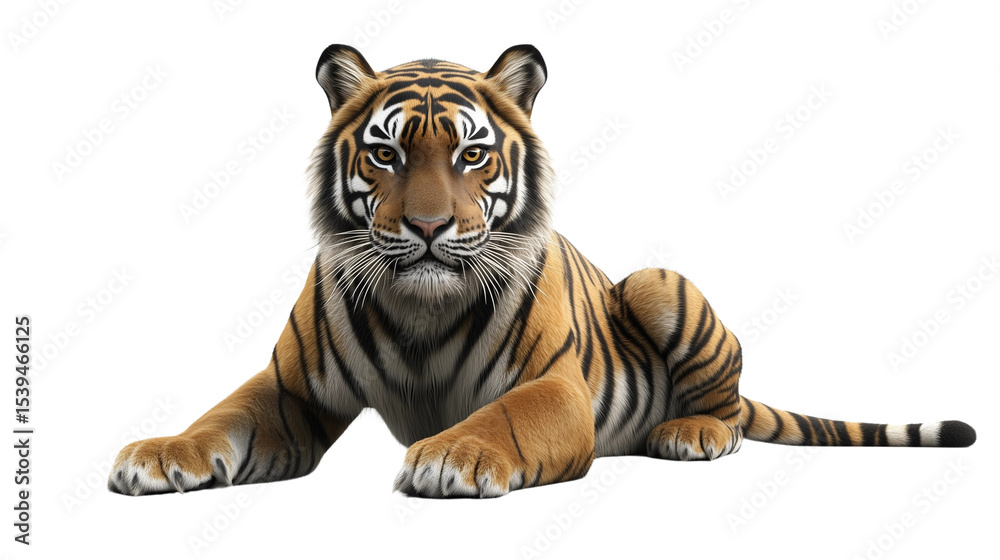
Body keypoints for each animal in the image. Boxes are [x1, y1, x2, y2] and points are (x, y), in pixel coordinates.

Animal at [109, 44, 976, 498]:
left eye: (471, 153)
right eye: (386, 155)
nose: (429, 228)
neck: (420, 308)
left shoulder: (555, 386)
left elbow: (503, 418)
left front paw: (451, 456)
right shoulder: (292, 387)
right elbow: (224, 416)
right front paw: (159, 453)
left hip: (657, 283)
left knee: (729, 410)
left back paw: (687, 433)